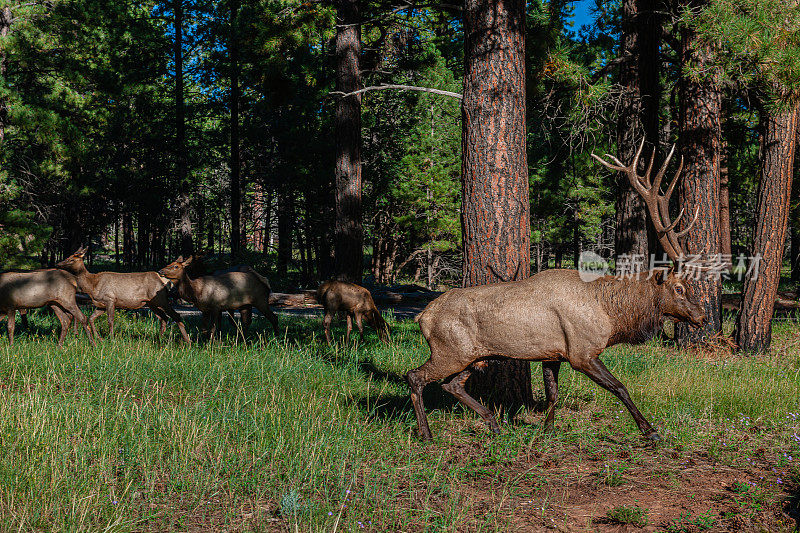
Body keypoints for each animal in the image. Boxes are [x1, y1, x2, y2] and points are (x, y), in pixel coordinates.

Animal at [56, 246, 191, 342]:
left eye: (72, 259)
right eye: (67, 256)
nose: (58, 264)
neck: (92, 286)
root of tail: (166, 281)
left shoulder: (110, 299)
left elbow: (110, 320)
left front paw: (111, 339)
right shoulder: (101, 305)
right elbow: (91, 318)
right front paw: (99, 338)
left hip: (162, 300)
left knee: (175, 315)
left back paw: (186, 341)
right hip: (152, 303)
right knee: (164, 318)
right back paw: (159, 339)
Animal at [410, 140, 704, 440]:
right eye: (679, 288)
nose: (701, 316)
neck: (612, 317)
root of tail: (422, 316)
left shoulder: (553, 354)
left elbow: (553, 393)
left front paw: (548, 430)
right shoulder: (582, 352)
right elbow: (620, 387)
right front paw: (649, 430)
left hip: (474, 356)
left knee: (451, 385)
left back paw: (493, 423)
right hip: (449, 350)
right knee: (415, 377)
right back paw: (426, 433)